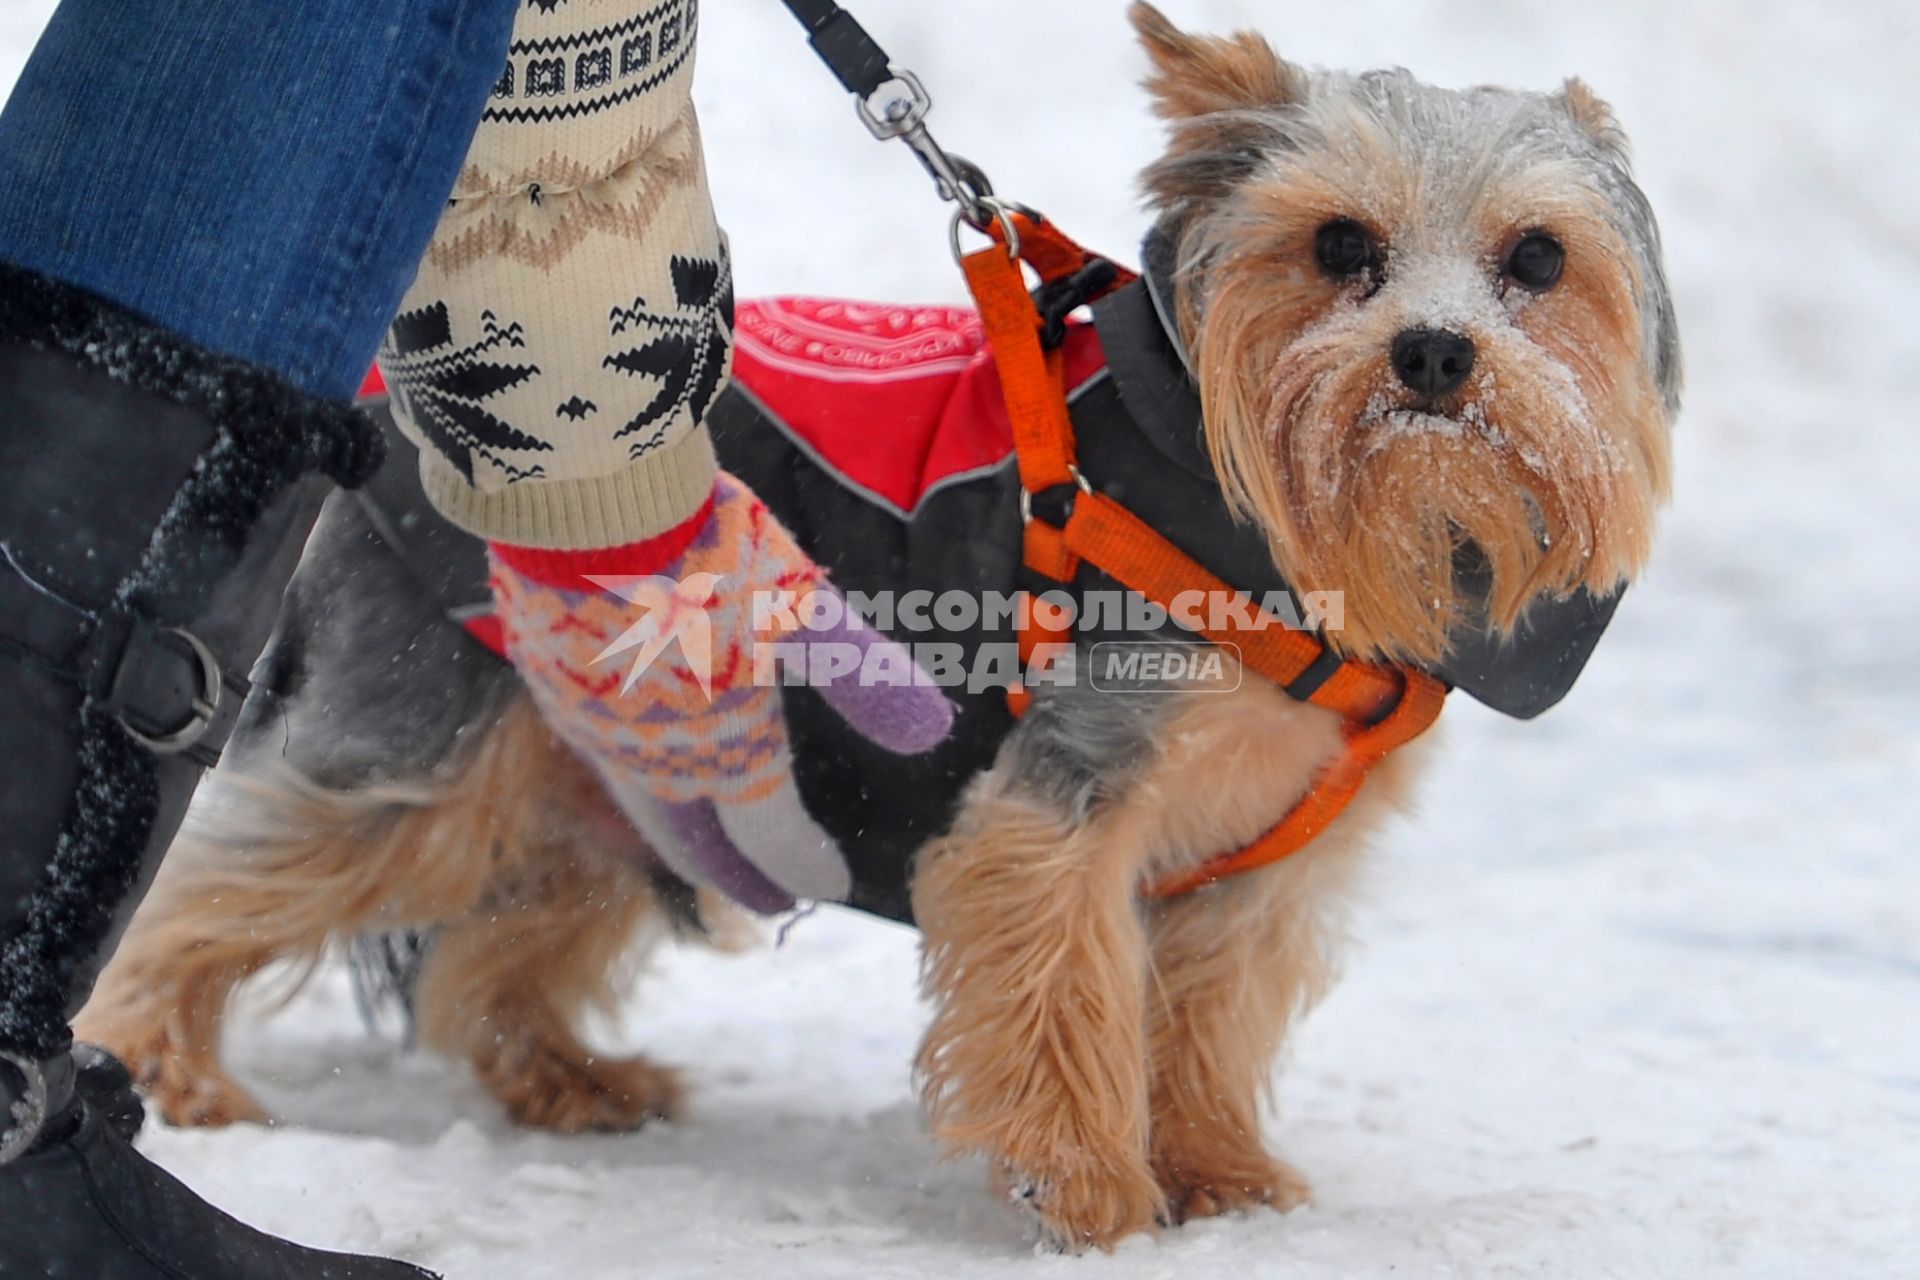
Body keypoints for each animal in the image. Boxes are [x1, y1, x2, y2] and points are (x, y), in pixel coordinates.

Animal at [86, 7, 1681, 1251]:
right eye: (1343, 244)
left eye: (1537, 261)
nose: (1434, 354)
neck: (1282, 519)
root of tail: (396, 414)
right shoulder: (1066, 804)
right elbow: (1063, 996)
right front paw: (1092, 1200)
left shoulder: (1251, 867)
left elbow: (1204, 1025)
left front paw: (1221, 1179)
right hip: (433, 732)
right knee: (242, 868)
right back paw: (159, 1068)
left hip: (613, 763)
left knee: (501, 945)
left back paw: (564, 1081)